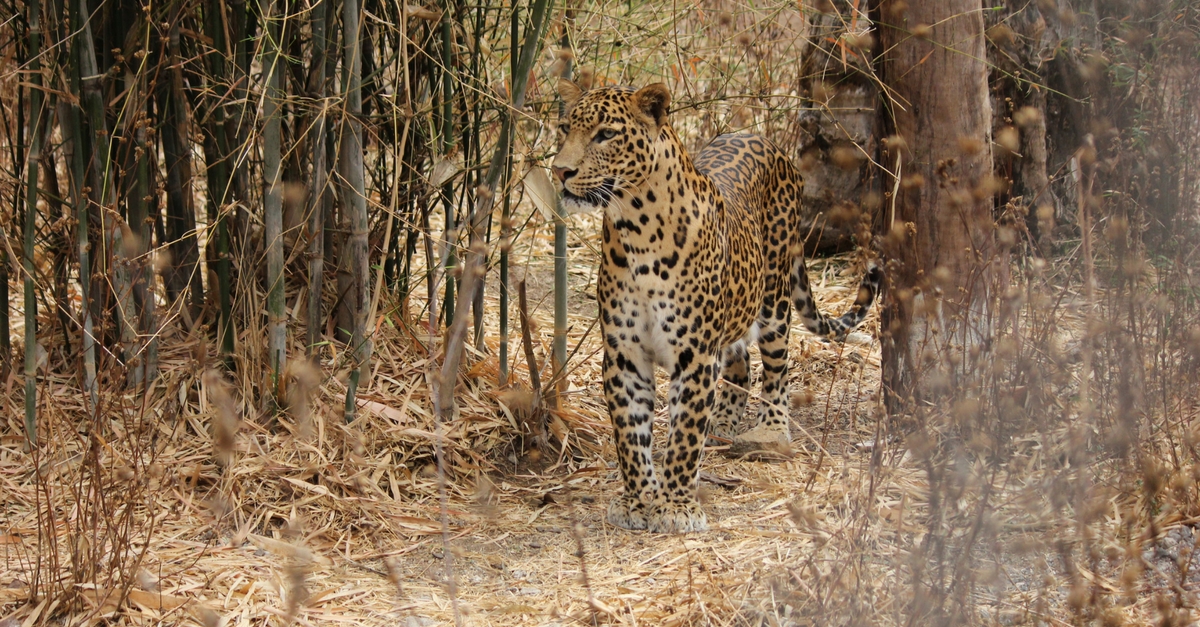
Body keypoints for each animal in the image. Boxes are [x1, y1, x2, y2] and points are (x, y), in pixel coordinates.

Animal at [552, 79, 883, 530]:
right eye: (565, 128)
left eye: (605, 134)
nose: (560, 171)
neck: (634, 228)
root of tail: (763, 140)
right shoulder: (623, 354)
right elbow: (629, 433)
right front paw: (638, 500)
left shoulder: (694, 354)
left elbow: (685, 435)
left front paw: (676, 506)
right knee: (740, 362)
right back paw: (724, 419)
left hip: (774, 297)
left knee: (777, 367)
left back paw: (769, 430)